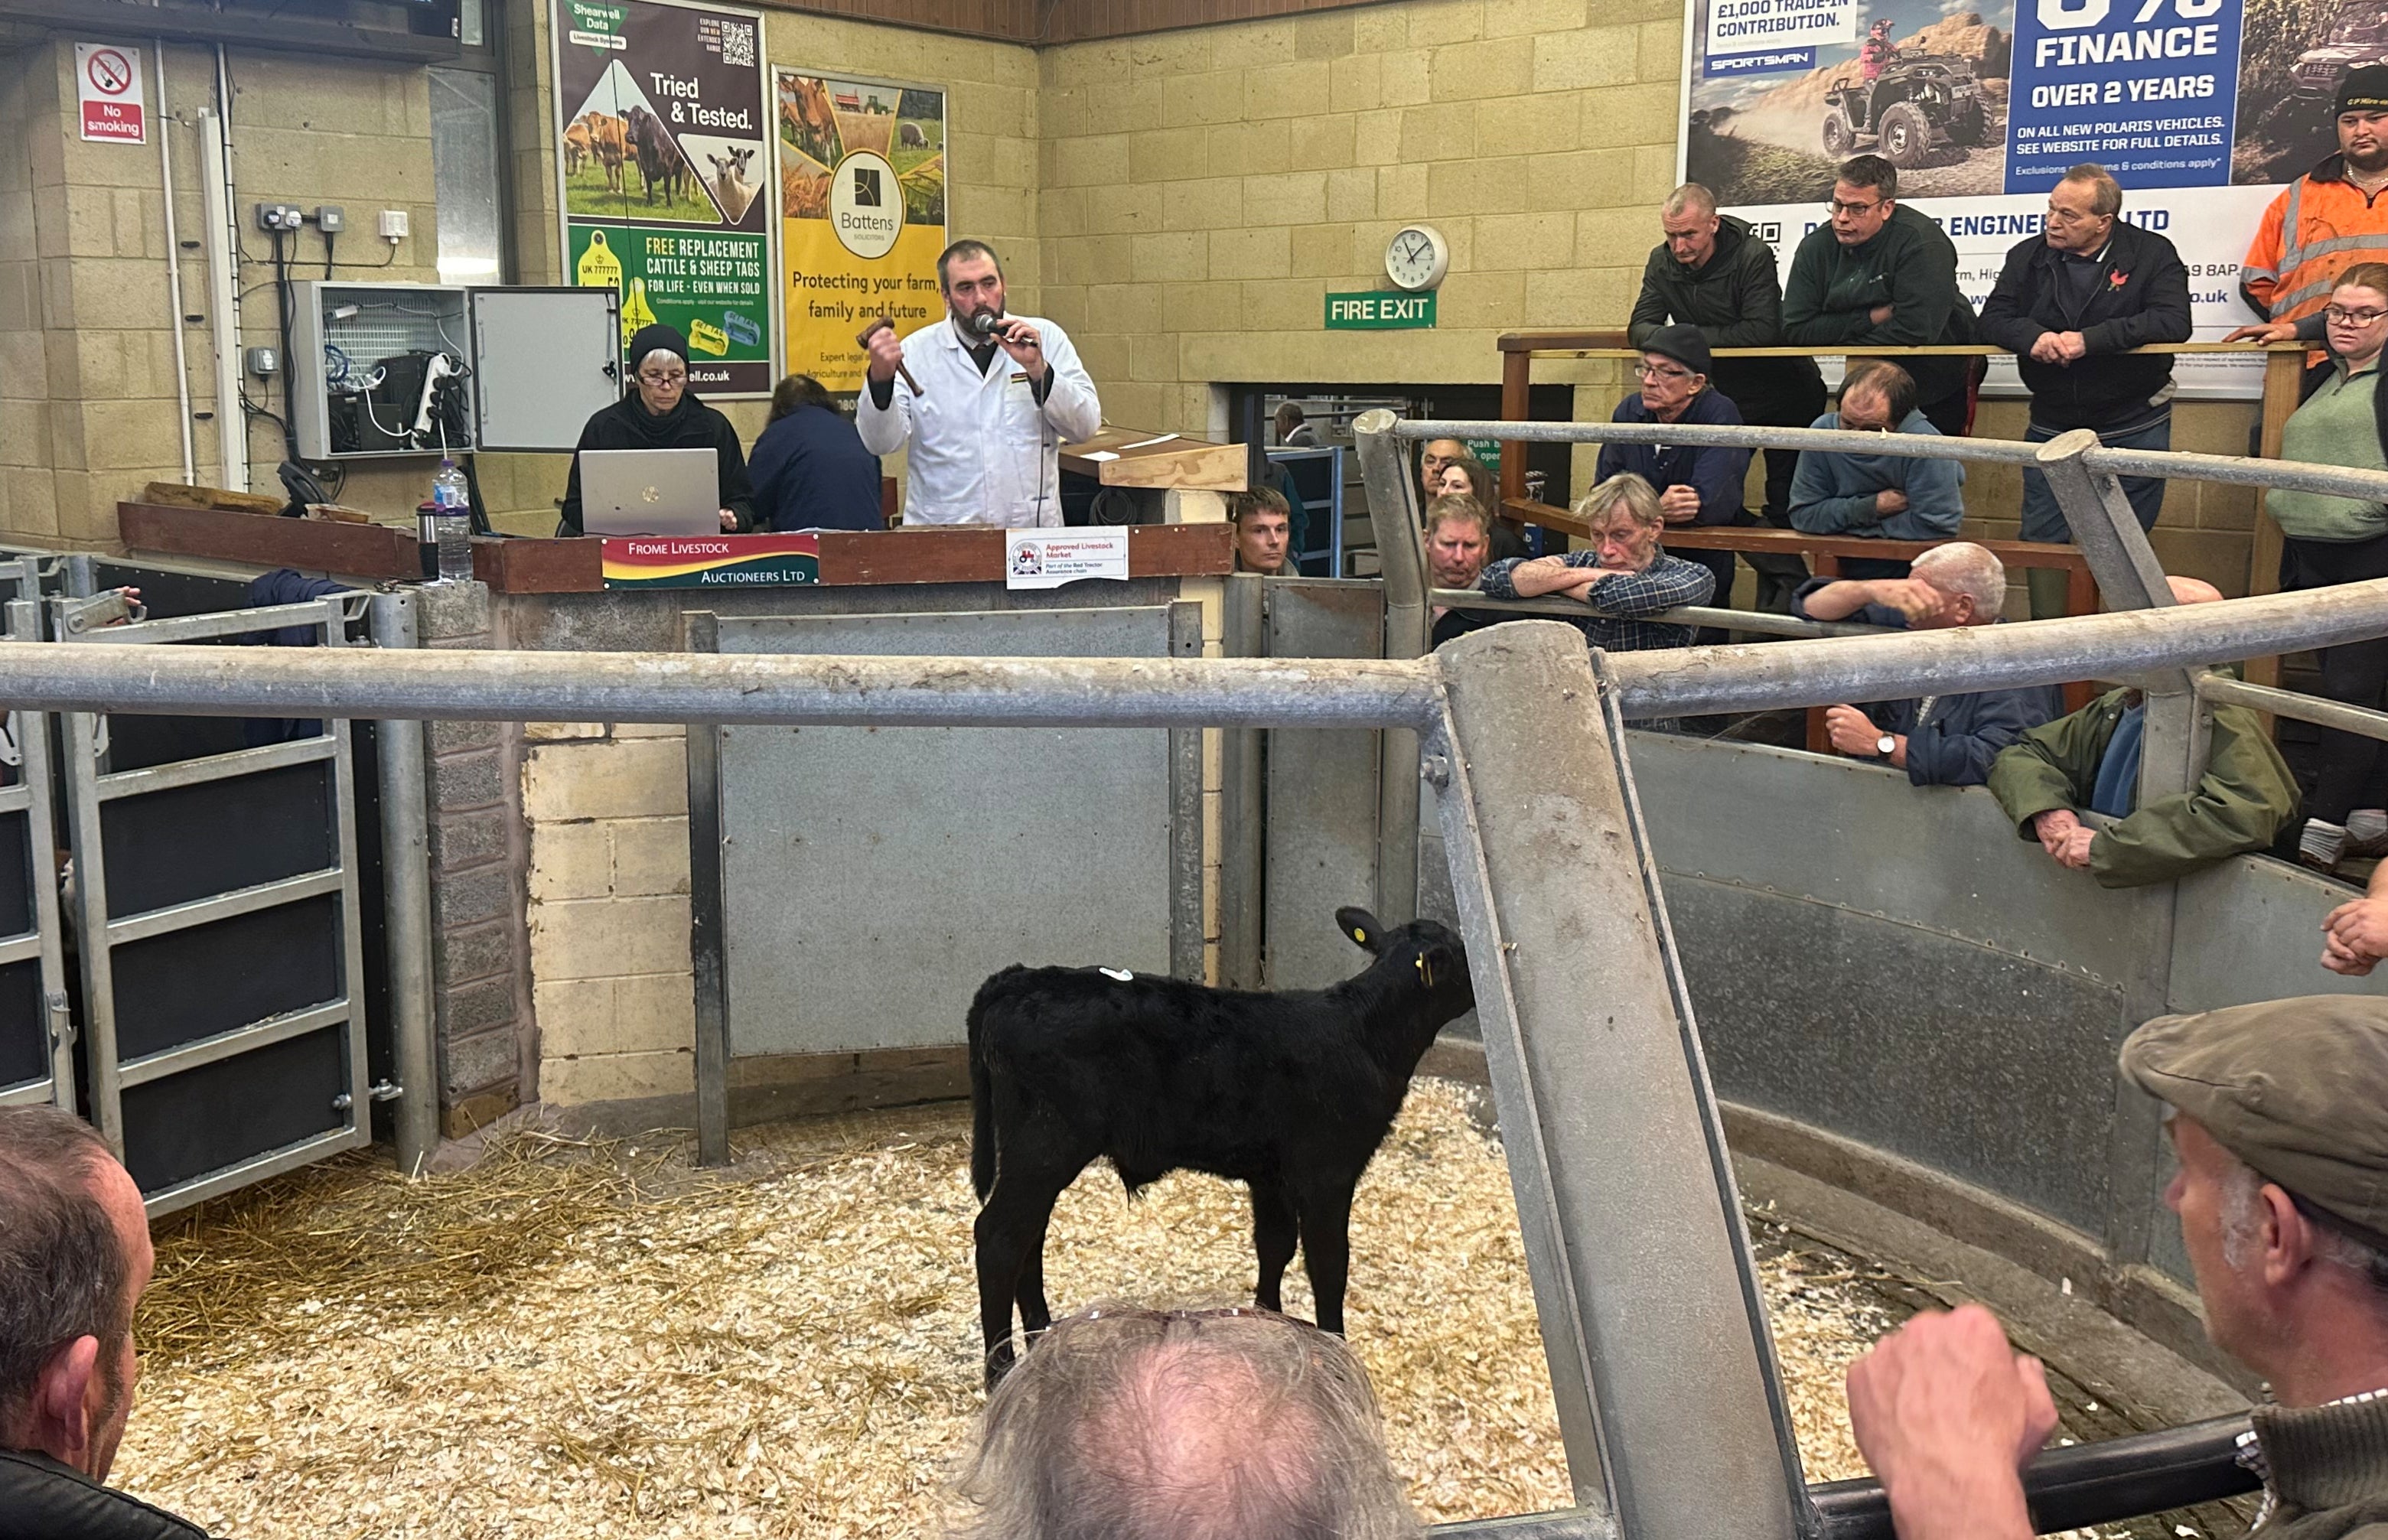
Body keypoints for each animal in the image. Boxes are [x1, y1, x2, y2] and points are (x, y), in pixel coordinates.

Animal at [959, 907, 1461, 1385]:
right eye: (1462, 953)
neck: (1366, 1033)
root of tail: (1018, 979)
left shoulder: (1271, 1176)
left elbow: (1274, 1245)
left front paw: (1268, 1320)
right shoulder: (1328, 1174)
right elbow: (1329, 1265)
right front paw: (1336, 1349)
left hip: (1033, 1154)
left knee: (1030, 1235)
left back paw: (1041, 1339)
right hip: (1045, 1144)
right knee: (1000, 1238)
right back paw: (1000, 1372)